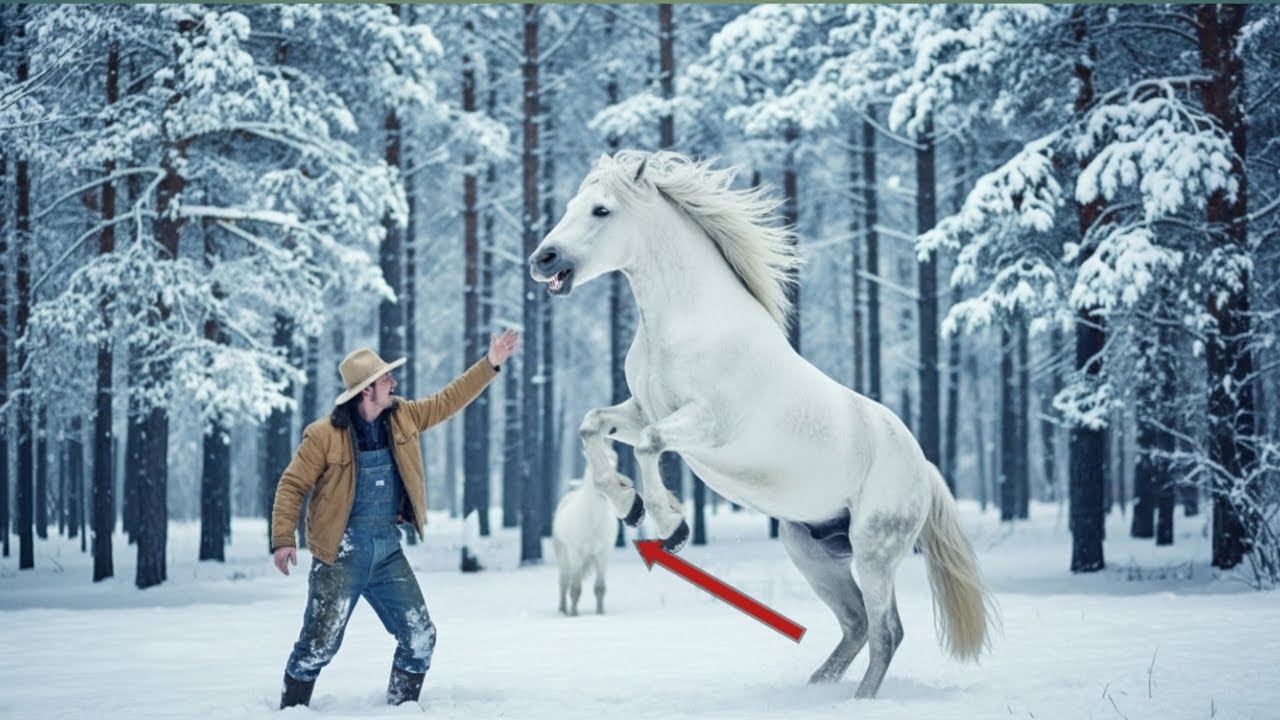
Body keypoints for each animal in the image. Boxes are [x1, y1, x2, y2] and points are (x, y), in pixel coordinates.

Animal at [552, 465, 621, 616]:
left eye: (614, 466)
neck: (592, 520)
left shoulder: (603, 555)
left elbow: (600, 588)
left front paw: (600, 612)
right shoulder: (576, 554)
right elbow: (575, 588)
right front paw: (573, 614)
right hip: (564, 558)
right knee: (563, 583)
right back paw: (562, 610)